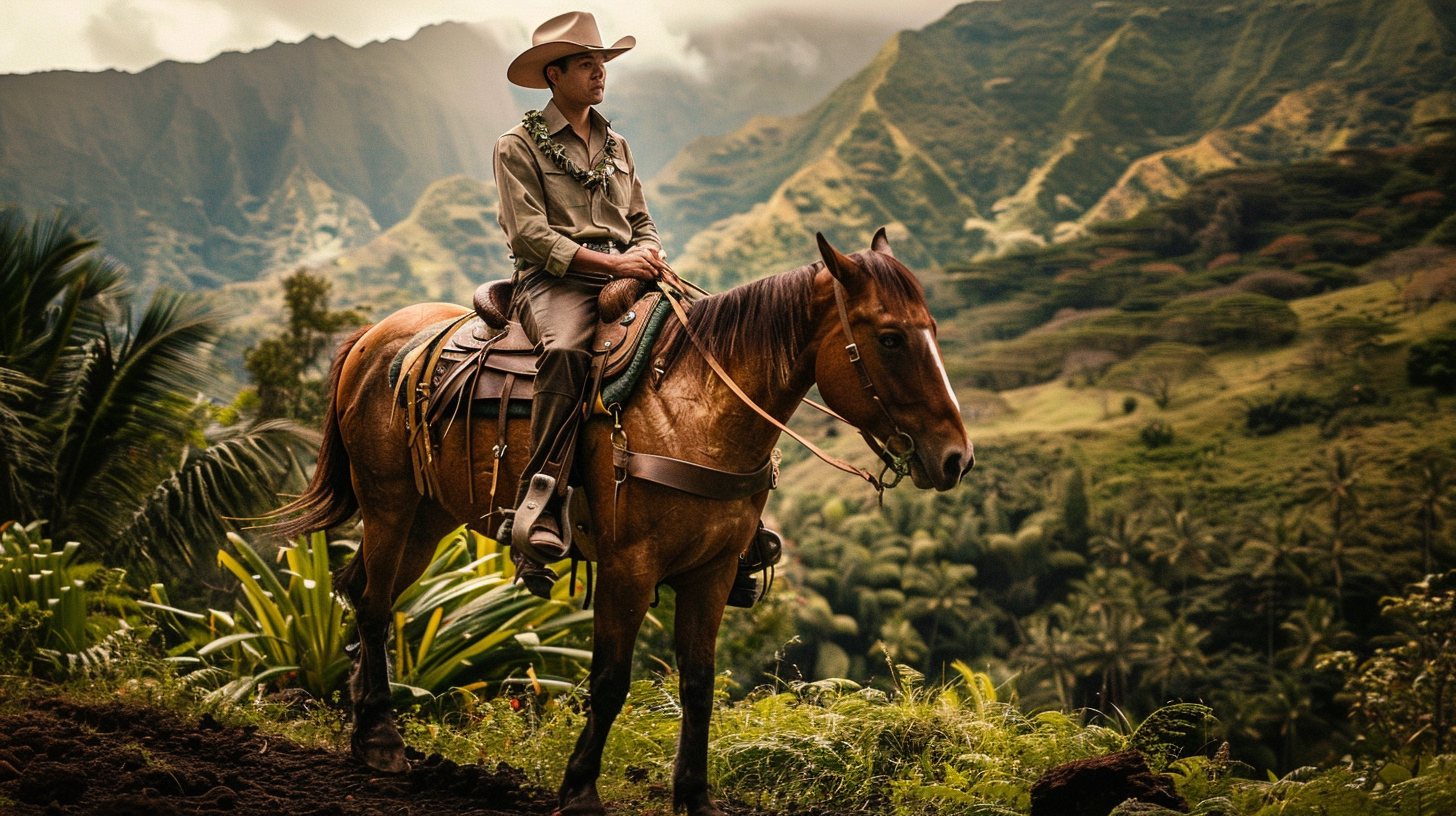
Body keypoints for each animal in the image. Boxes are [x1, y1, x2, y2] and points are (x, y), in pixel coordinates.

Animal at [278, 230, 972, 816]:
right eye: (890, 338)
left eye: (934, 329)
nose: (956, 458)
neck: (695, 412)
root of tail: (375, 334)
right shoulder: (628, 567)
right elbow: (611, 679)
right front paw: (581, 789)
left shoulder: (713, 572)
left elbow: (698, 683)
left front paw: (695, 797)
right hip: (389, 503)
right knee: (373, 604)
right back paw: (381, 739)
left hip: (426, 517)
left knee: (366, 590)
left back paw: (362, 722)